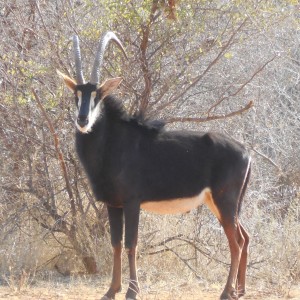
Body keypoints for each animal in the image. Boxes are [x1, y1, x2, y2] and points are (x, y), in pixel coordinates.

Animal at [58, 31, 251, 298]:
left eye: (98, 96)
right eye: (76, 95)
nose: (83, 120)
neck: (112, 143)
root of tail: (245, 152)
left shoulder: (132, 202)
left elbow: (131, 243)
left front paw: (132, 291)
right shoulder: (113, 204)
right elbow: (115, 243)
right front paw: (111, 290)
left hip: (225, 201)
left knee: (237, 242)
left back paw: (226, 291)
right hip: (219, 203)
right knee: (245, 236)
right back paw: (239, 290)